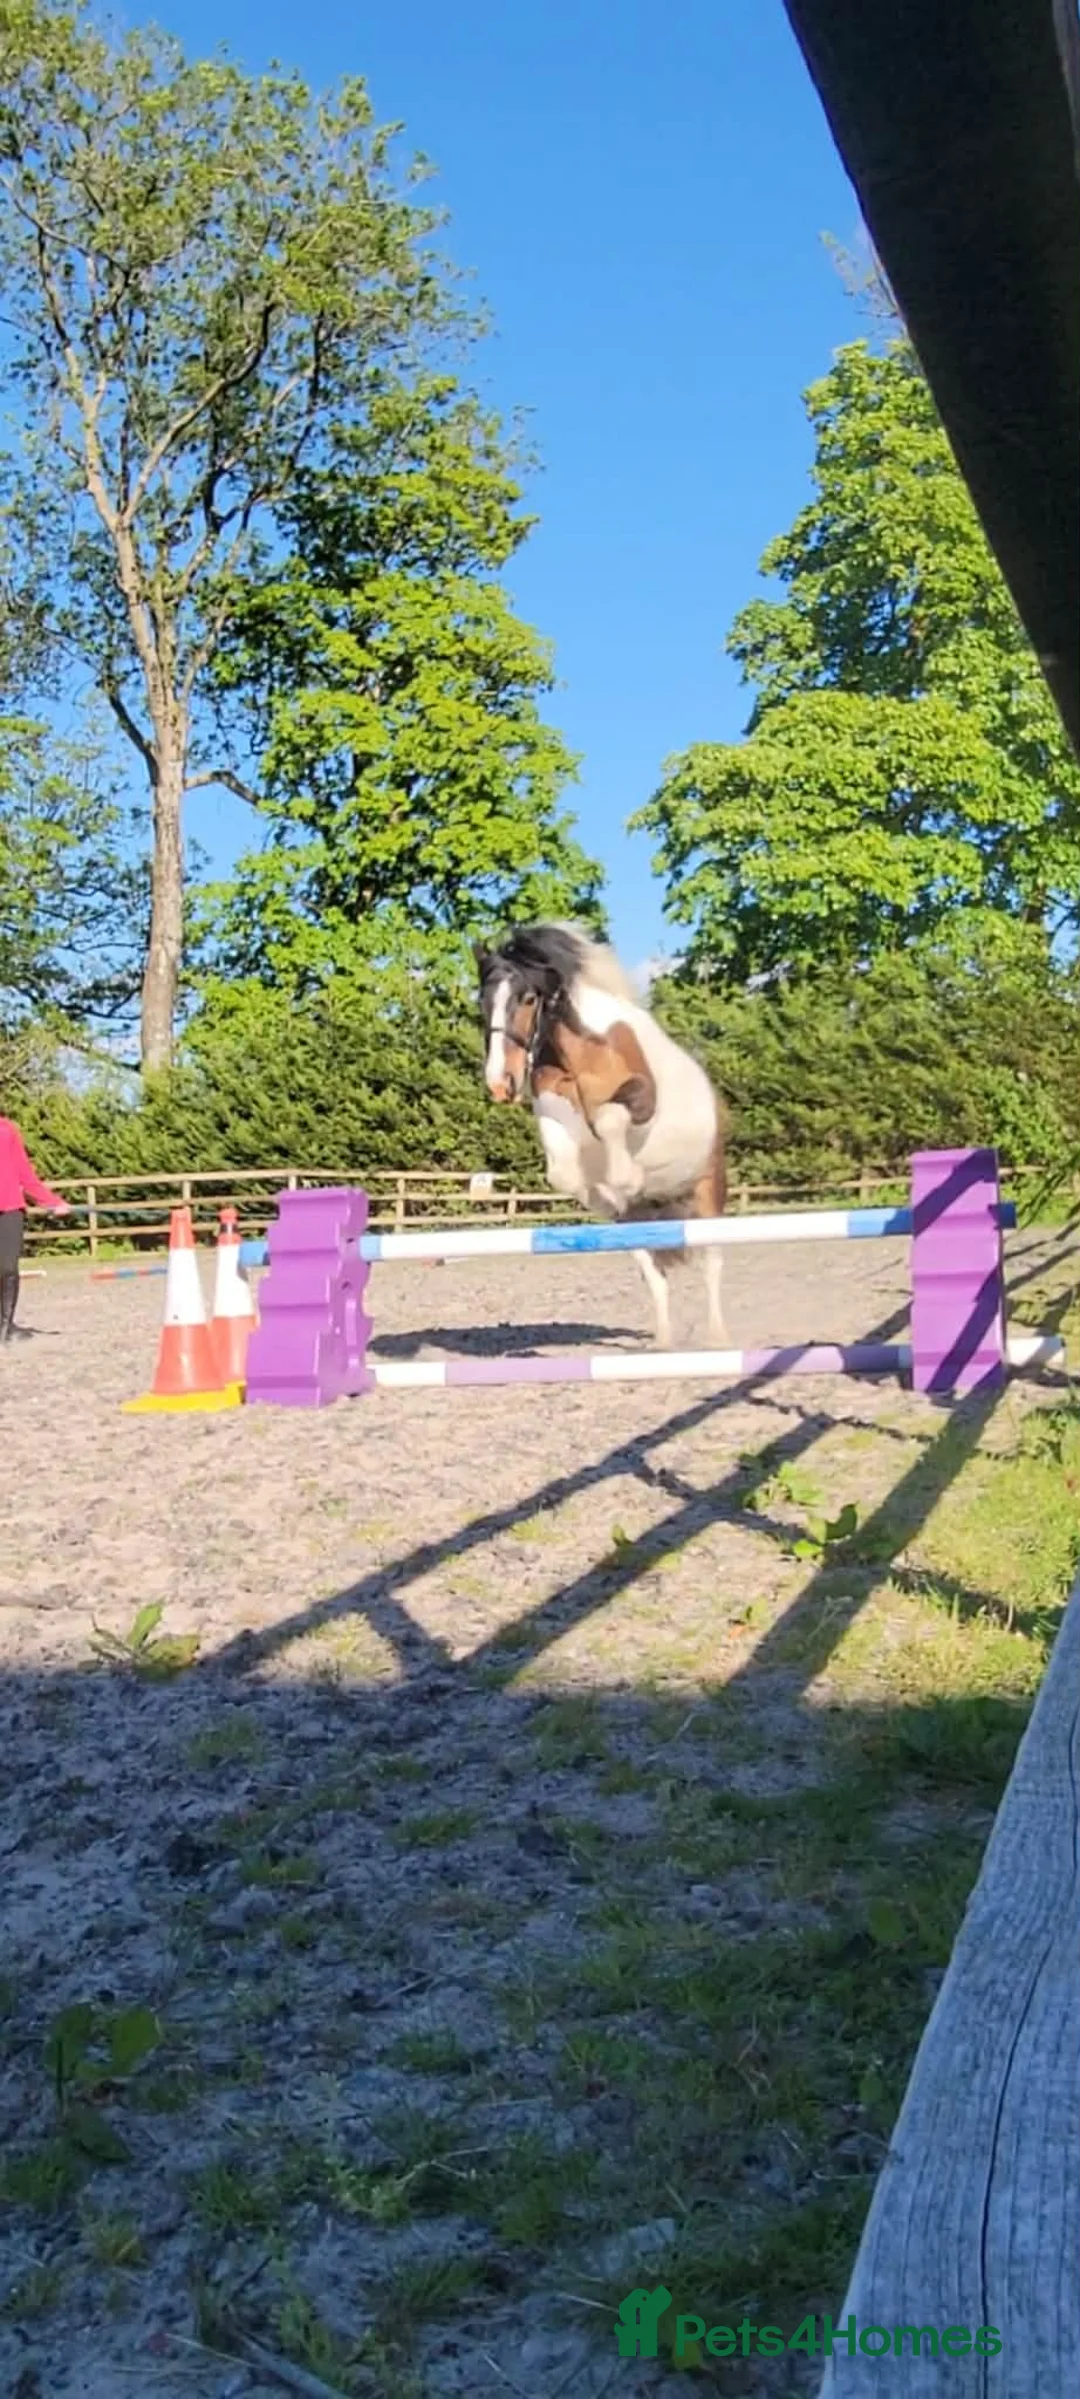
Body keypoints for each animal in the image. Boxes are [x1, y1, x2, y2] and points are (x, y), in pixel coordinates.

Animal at [474, 921, 731, 1349]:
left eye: (528, 998)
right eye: (482, 1001)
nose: (500, 1084)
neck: (582, 1048)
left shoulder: (642, 1096)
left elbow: (610, 1118)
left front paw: (625, 1181)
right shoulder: (552, 1105)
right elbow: (563, 1172)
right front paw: (608, 1194)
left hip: (707, 1193)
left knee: (711, 1262)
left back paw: (717, 1337)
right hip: (637, 1232)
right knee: (655, 1275)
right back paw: (663, 1342)